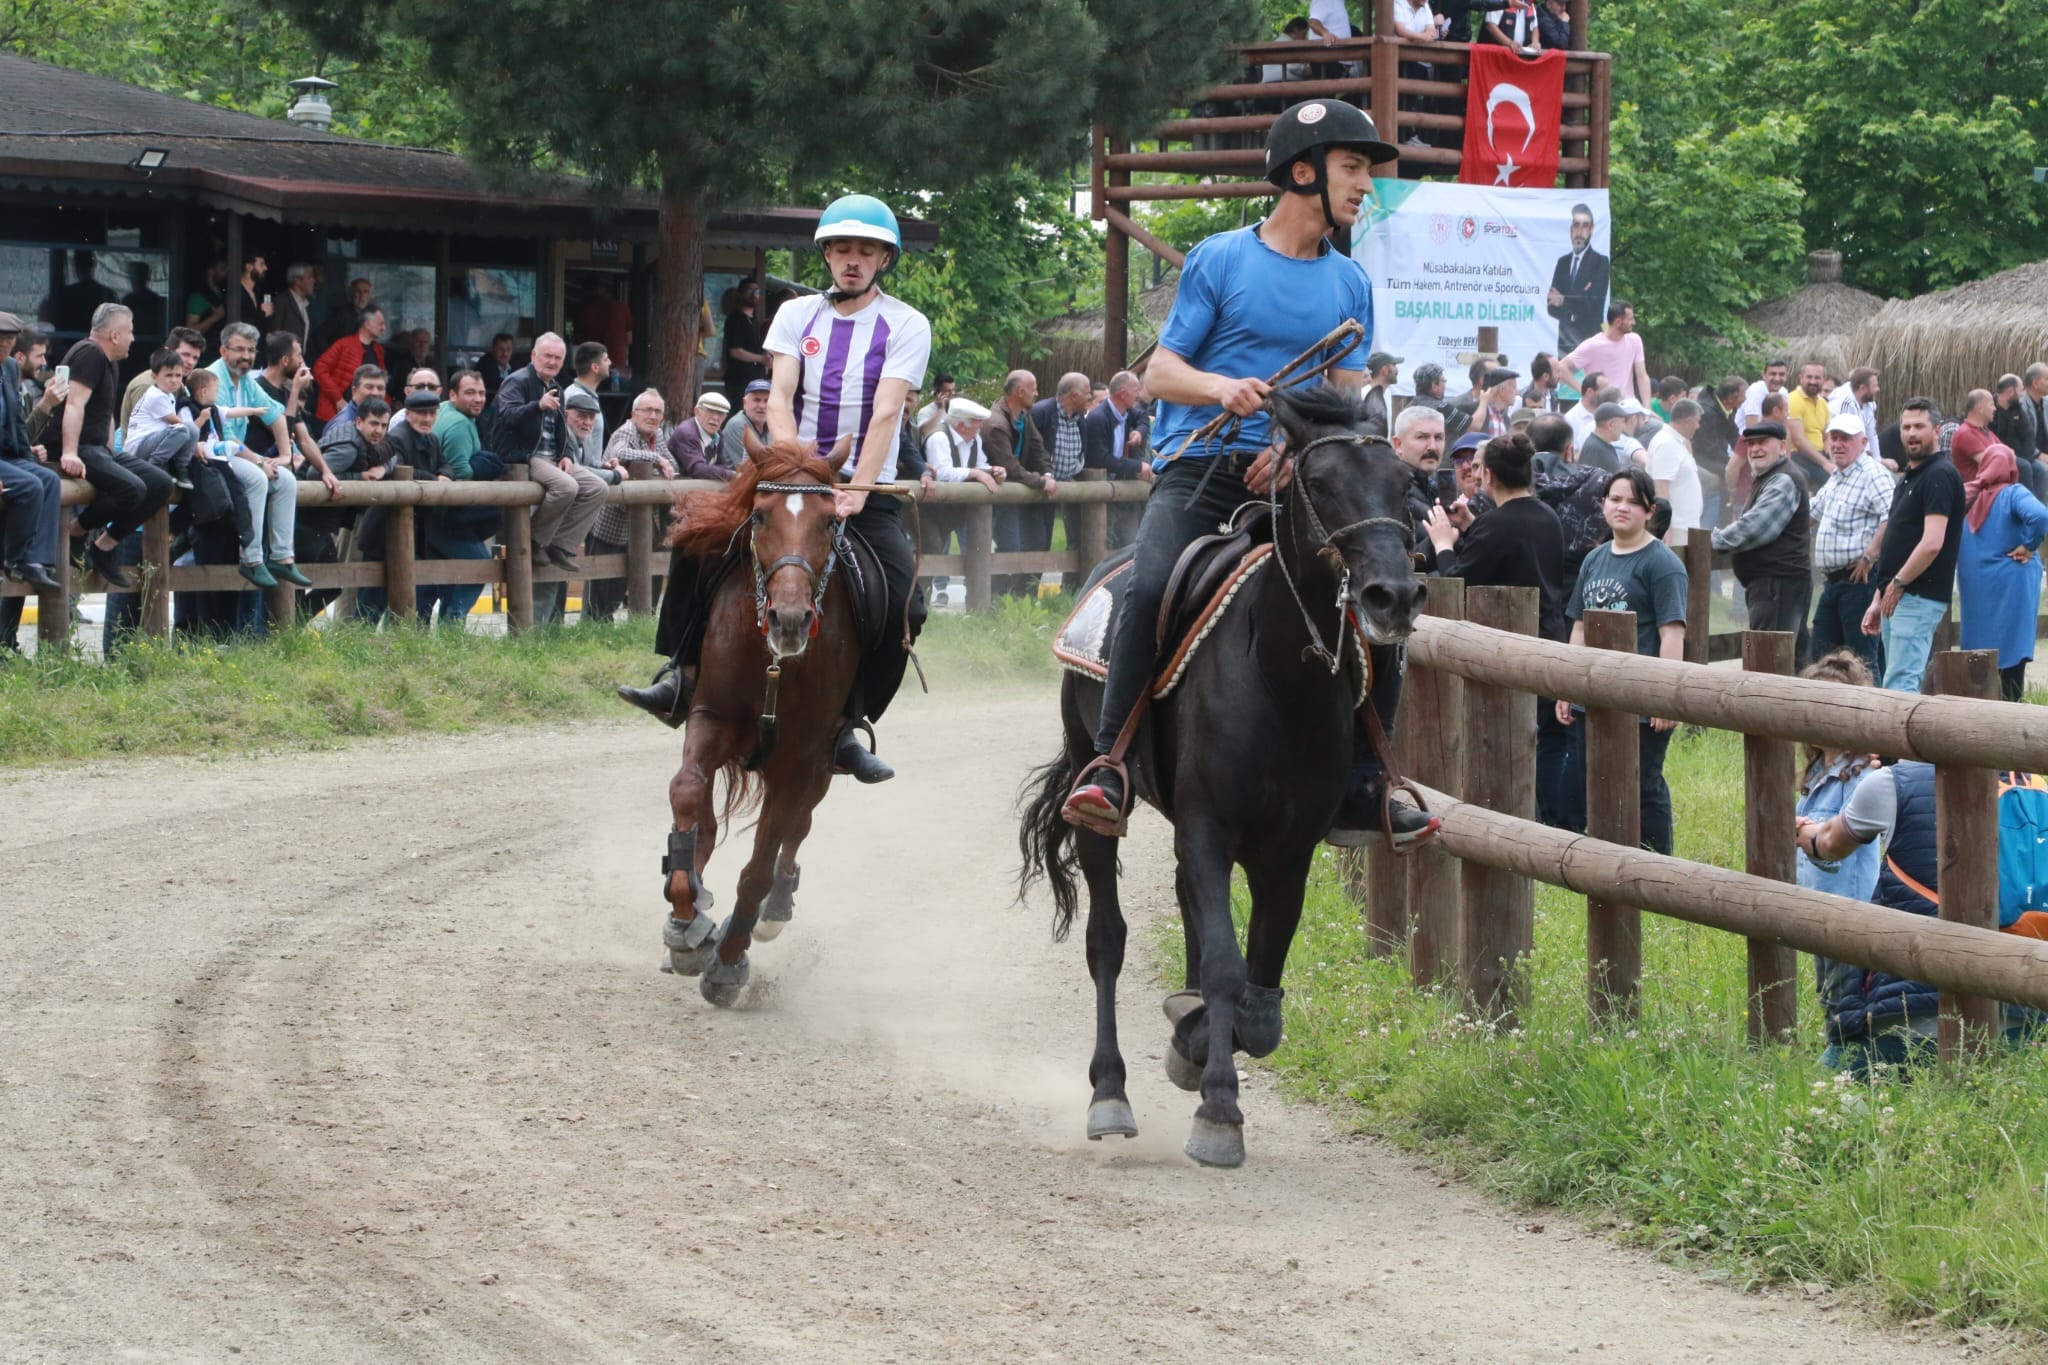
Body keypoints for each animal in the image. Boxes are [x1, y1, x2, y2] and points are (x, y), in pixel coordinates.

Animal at [659, 437, 860, 1002]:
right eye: (761, 515)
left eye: (828, 522)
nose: (788, 620)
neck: (774, 662)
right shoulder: (709, 718)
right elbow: (688, 795)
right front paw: (686, 919)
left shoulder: (801, 760)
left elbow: (760, 863)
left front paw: (727, 960)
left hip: (821, 766)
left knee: (797, 829)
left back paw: (773, 910)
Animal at [1019, 386, 1425, 1178]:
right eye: (1320, 483)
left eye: (1406, 485)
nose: (1392, 595)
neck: (1280, 676)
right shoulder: (1210, 830)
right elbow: (1225, 966)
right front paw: (1217, 1109)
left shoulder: (1287, 851)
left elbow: (1258, 986)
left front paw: (1201, 1042)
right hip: (1095, 792)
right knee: (1106, 939)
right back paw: (1109, 1094)